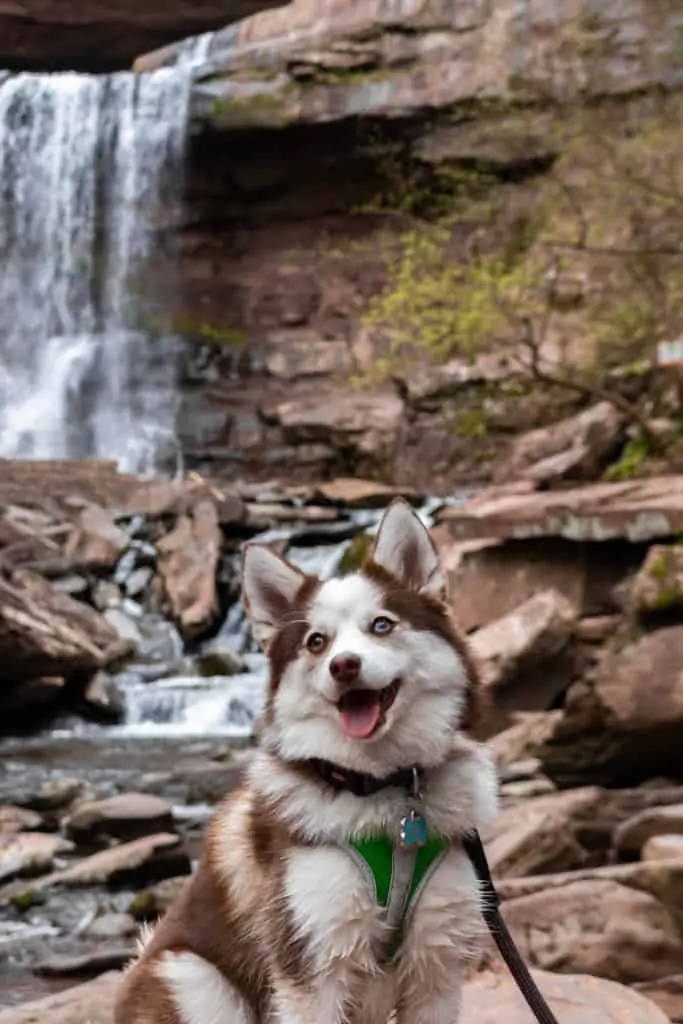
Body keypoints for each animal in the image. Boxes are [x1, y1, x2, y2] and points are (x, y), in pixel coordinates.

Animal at [114, 497, 499, 1024]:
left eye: (382, 624)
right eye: (317, 641)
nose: (344, 665)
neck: (386, 792)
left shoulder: (436, 966)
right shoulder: (312, 969)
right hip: (192, 977)